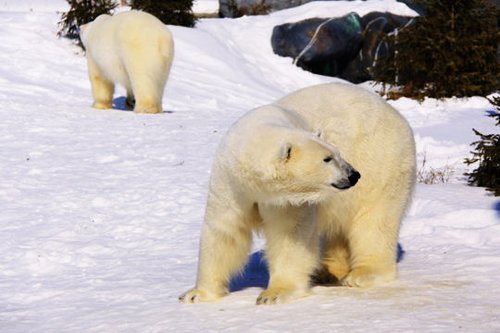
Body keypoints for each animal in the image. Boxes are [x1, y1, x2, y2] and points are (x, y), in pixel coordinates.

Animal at [179, 82, 414, 304]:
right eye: (327, 158)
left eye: (336, 153)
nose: (353, 174)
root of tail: (396, 114)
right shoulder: (231, 185)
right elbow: (224, 232)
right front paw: (195, 294)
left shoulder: (289, 201)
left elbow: (289, 235)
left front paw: (274, 294)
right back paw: (327, 271)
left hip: (382, 164)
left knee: (374, 222)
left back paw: (362, 274)